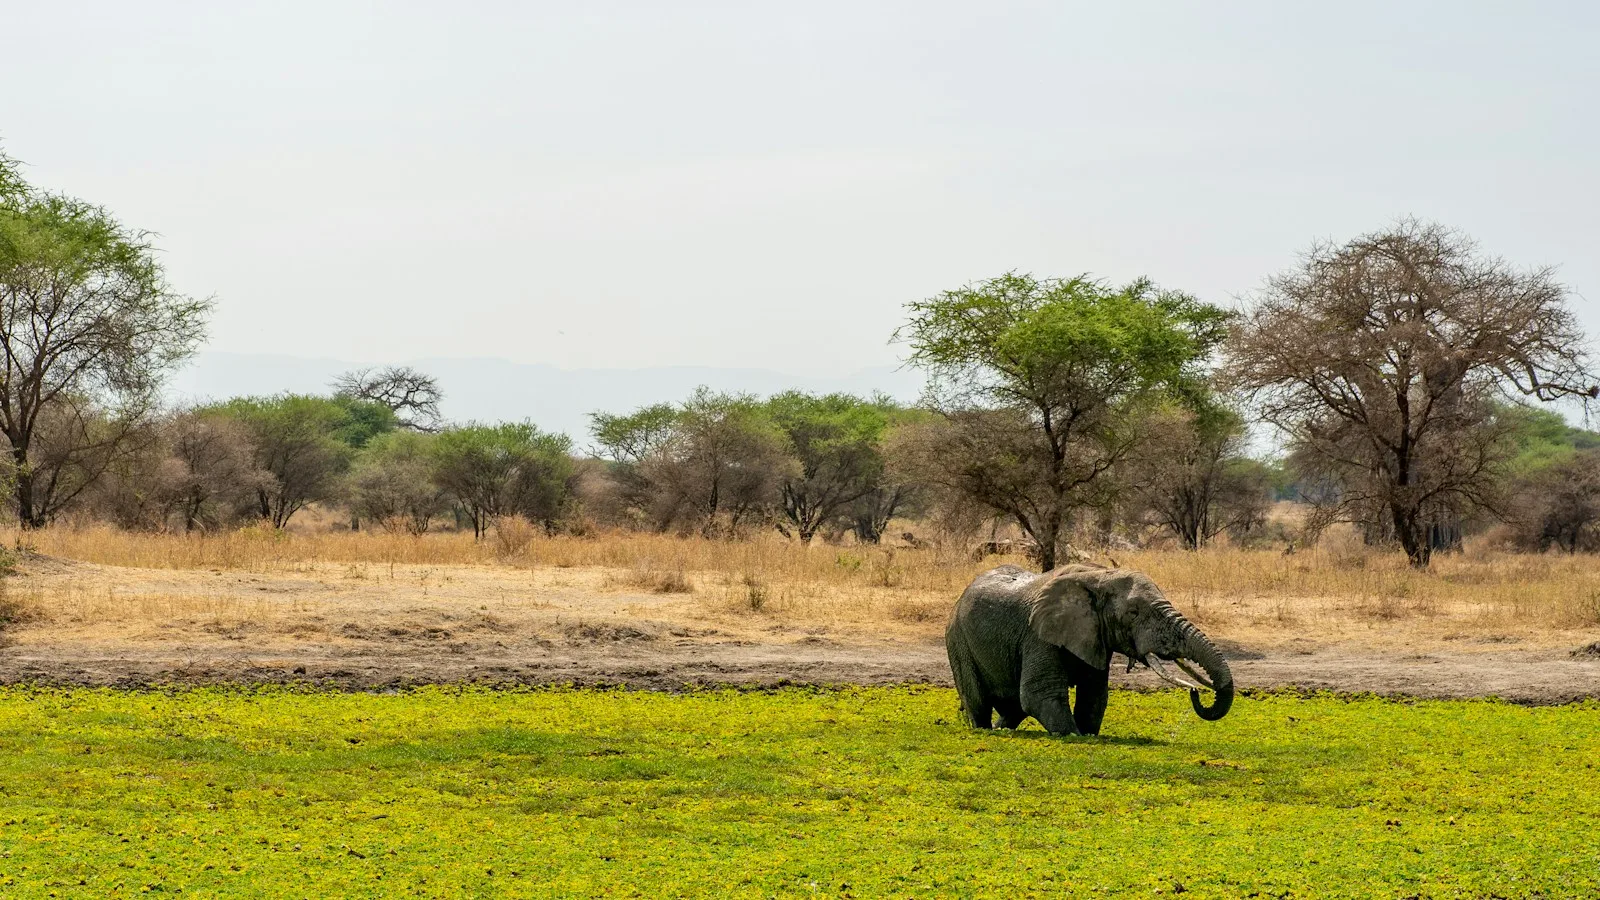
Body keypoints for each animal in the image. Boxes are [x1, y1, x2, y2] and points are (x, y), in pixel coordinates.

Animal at [945, 564, 1233, 735]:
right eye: (1133, 612)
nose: (1195, 692)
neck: (1098, 576)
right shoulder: (1038, 636)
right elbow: (1039, 694)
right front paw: (1074, 735)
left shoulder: (1096, 636)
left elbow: (1094, 696)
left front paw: (1086, 733)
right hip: (958, 642)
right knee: (979, 702)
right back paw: (985, 730)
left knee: (1014, 708)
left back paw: (1001, 730)